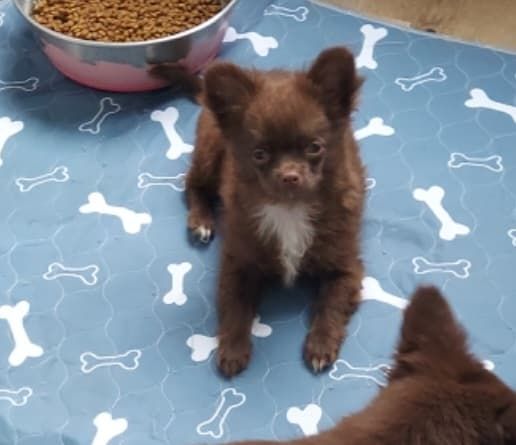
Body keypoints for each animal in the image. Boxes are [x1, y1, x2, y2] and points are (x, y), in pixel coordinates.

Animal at [152, 46, 362, 376]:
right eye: (259, 154)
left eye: (314, 147)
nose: (289, 176)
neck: (290, 209)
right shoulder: (238, 263)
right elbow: (235, 306)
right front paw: (233, 349)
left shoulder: (346, 267)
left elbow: (332, 303)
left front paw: (320, 345)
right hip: (209, 151)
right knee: (192, 184)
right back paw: (201, 221)